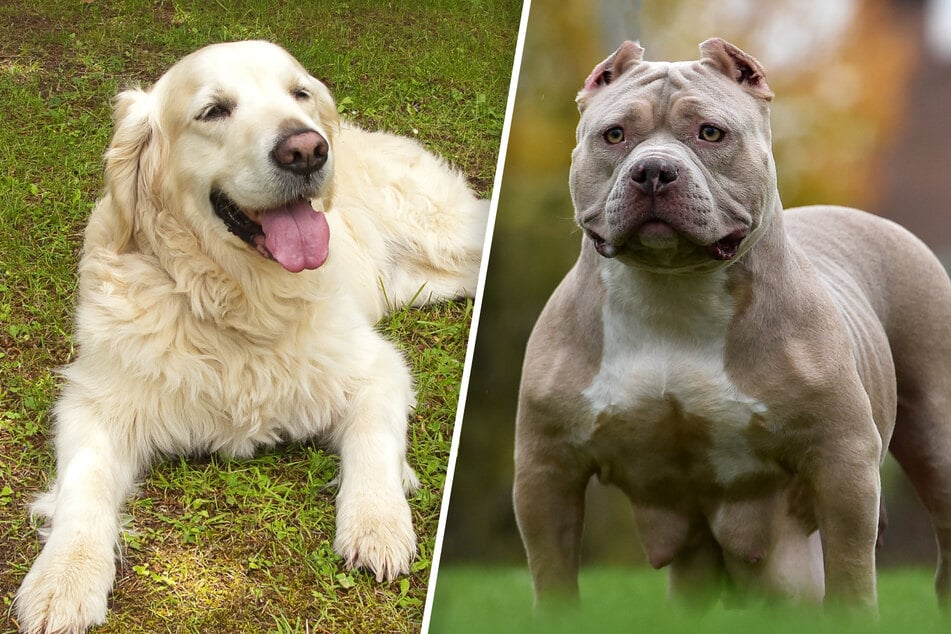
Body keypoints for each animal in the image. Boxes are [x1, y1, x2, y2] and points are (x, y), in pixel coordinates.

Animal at [17, 40, 488, 632]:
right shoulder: (94, 402)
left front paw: (377, 524)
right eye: (214, 110)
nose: (307, 150)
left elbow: (373, 443)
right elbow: (83, 486)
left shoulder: (376, 368)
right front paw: (64, 577)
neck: (240, 298)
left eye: (299, 93)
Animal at [516, 38, 951, 608]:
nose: (652, 171)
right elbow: (554, 578)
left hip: (934, 435)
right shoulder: (547, 470)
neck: (672, 290)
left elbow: (851, 577)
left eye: (710, 133)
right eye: (614, 135)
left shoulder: (842, 462)